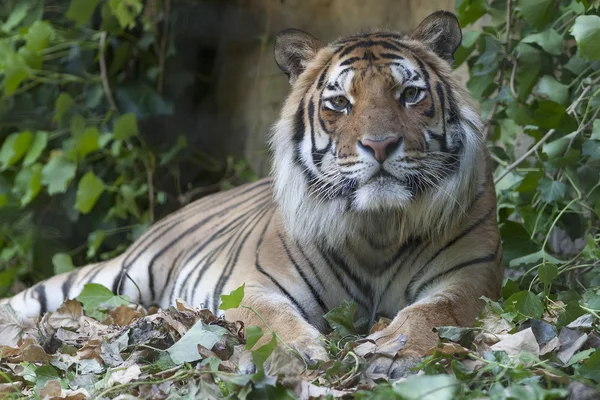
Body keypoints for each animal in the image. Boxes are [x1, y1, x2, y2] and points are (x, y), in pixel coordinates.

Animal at [2, 10, 502, 378]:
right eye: (340, 103)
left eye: (410, 94)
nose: (379, 145)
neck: (377, 227)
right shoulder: (253, 283)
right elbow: (270, 317)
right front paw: (299, 352)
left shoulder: (470, 276)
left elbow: (435, 312)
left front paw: (393, 351)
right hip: (113, 277)